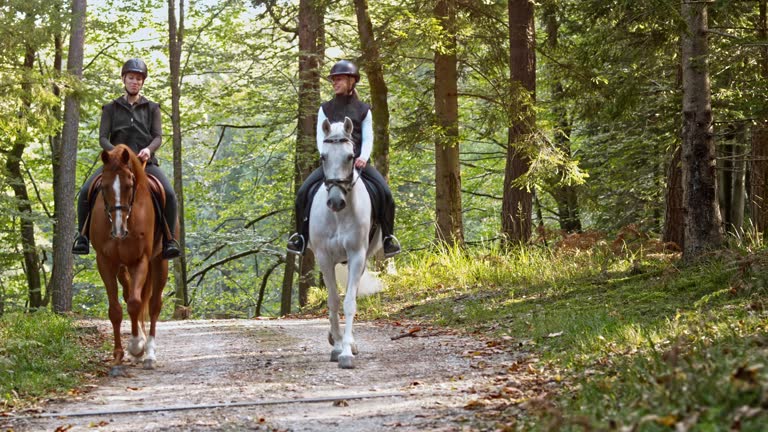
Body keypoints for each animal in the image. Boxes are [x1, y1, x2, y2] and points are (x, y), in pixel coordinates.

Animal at [89, 144, 173, 374]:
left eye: (129, 185)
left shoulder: (140, 260)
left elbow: (136, 304)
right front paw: (118, 355)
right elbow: (116, 309)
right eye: (104, 186)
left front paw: (136, 346)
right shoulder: (105, 262)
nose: (118, 230)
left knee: (153, 305)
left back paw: (149, 353)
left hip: (159, 262)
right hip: (121, 268)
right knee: (129, 296)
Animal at [308, 117, 383, 369]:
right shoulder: (324, 257)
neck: (339, 216)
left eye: (351, 156)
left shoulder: (357, 255)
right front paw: (337, 345)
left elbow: (349, 302)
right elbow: (332, 301)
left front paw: (347, 352)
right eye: (323, 157)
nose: (335, 202)